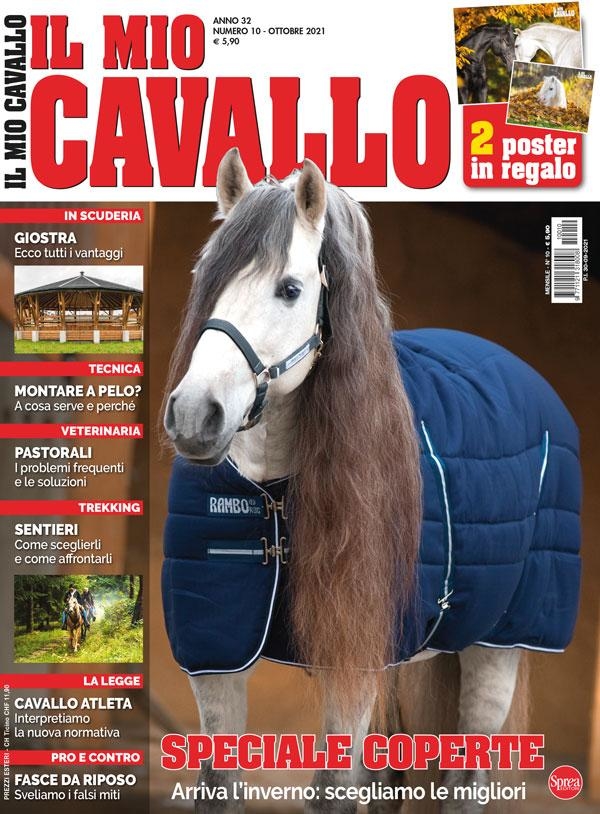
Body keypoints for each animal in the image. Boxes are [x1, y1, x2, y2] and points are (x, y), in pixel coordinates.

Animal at [162, 149, 581, 813]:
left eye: (290, 289)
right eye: (208, 273)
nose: (195, 414)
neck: (274, 494)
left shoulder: (353, 662)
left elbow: (334, 791)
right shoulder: (217, 655)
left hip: (500, 647)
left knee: (468, 779)